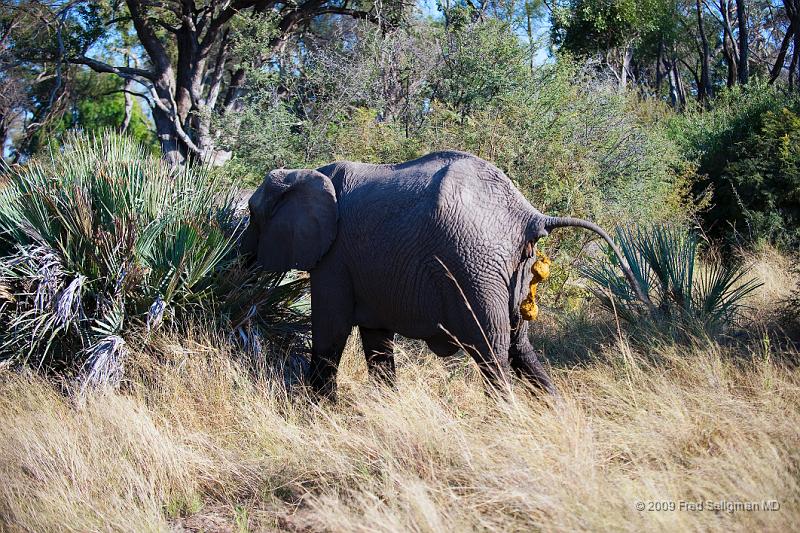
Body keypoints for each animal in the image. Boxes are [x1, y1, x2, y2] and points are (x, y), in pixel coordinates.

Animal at [244, 148, 648, 396]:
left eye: (251, 214)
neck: (305, 173)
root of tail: (529, 215)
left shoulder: (334, 258)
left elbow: (330, 330)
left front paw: (315, 414)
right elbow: (376, 339)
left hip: (475, 267)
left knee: (493, 353)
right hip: (506, 271)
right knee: (519, 346)